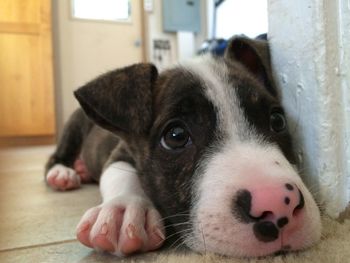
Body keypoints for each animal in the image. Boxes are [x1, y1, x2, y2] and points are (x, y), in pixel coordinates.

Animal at [45, 36, 322, 258]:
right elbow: (120, 176)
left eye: (277, 121)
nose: (278, 204)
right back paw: (63, 173)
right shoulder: (120, 152)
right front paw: (125, 210)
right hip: (73, 126)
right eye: (176, 136)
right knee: (55, 156)